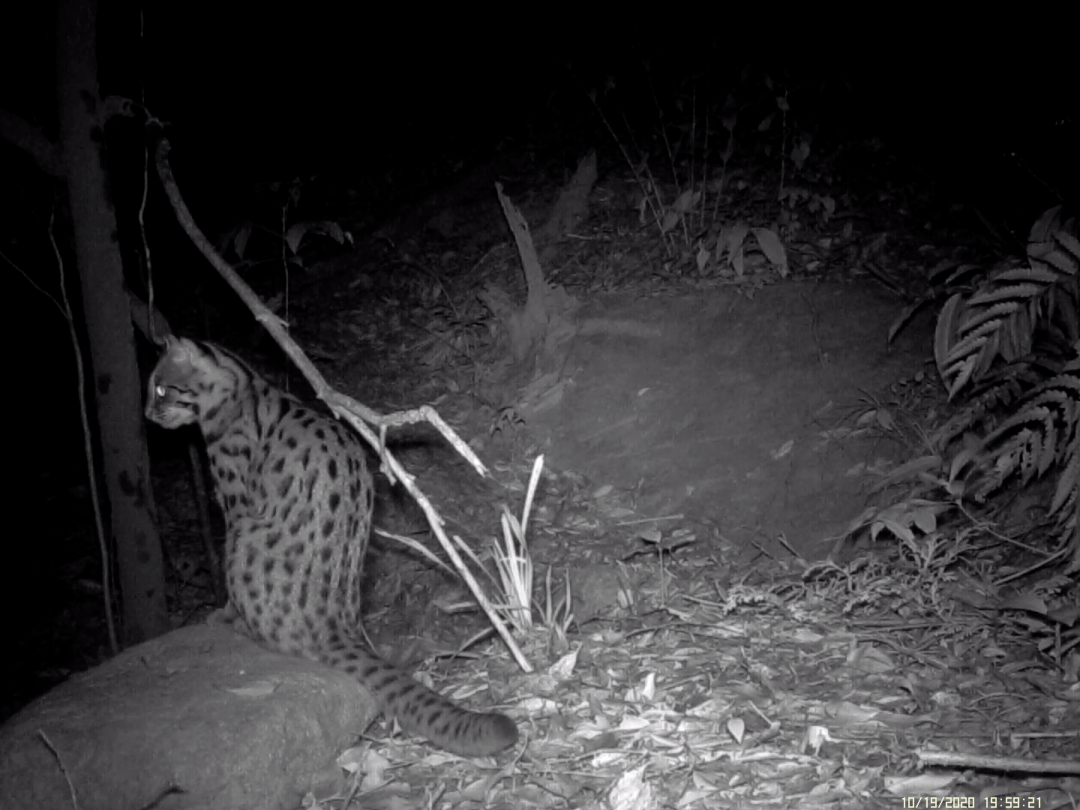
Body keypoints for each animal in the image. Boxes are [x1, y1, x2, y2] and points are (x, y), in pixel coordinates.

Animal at [144, 332, 518, 760]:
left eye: (160, 388)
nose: (147, 414)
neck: (237, 385)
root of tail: (335, 625)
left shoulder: (235, 504)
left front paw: (221, 614)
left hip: (244, 539)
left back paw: (234, 624)